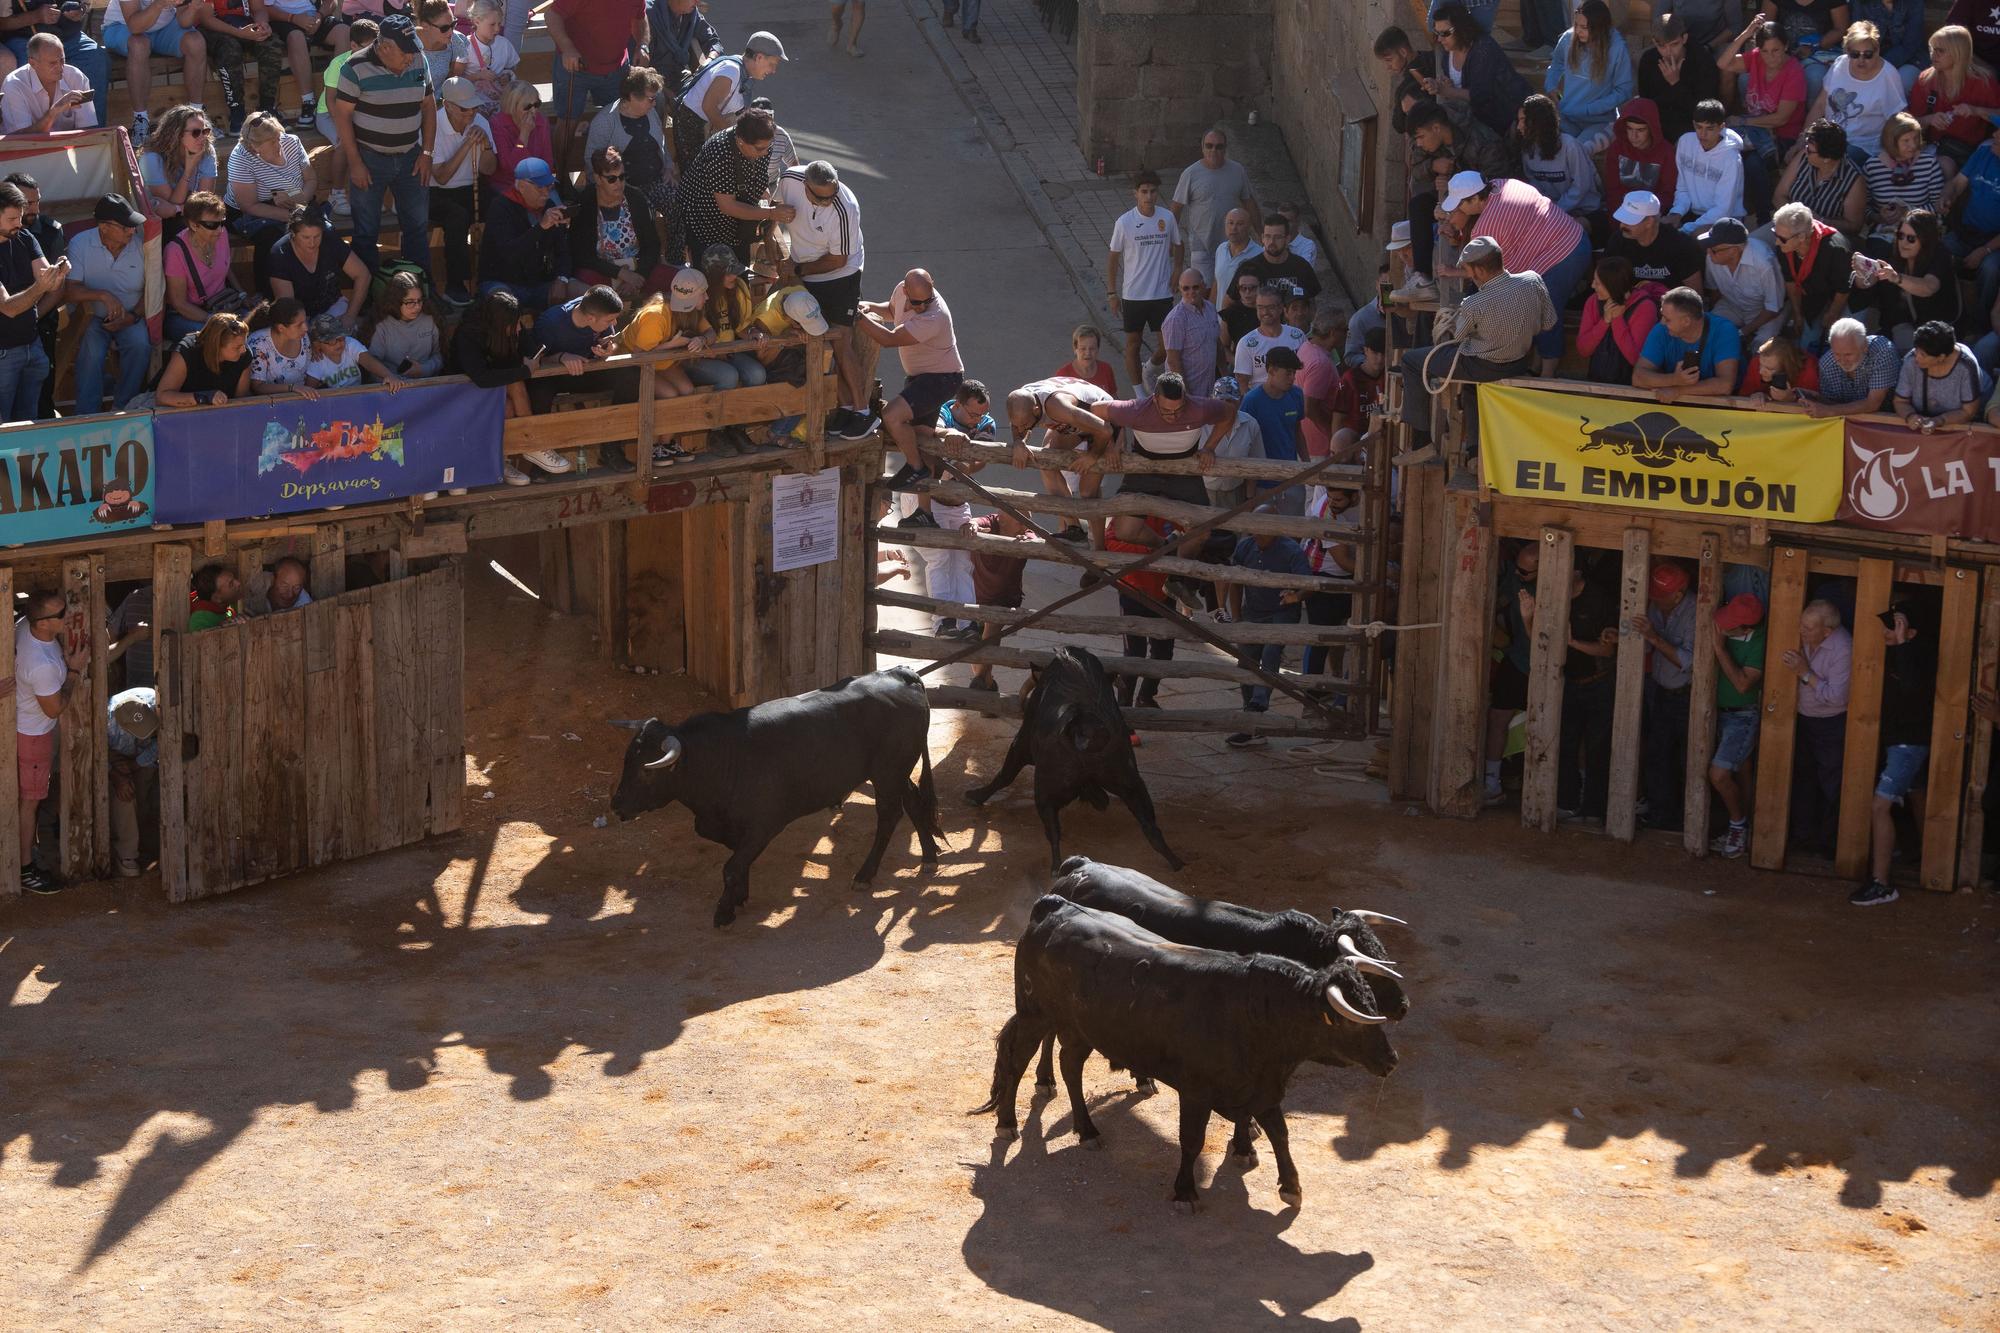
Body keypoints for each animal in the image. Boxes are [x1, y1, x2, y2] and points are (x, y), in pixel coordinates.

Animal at [608, 664, 944, 924]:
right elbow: (738, 861)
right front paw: (740, 896)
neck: (721, 757)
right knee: (913, 801)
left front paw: (725, 911)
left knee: (889, 816)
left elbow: (731, 866)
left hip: (887, 772)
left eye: (647, 771)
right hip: (897, 772)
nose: (616, 804)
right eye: (627, 760)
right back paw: (929, 856)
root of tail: (901, 674)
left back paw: (865, 875)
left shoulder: (763, 825)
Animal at [960, 644, 1176, 872]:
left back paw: (1056, 866)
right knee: (1150, 827)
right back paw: (1176, 862)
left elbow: (1005, 774)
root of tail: (1086, 729)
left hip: (1046, 788)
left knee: (1053, 829)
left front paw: (975, 795)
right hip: (1131, 782)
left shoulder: (1021, 743)